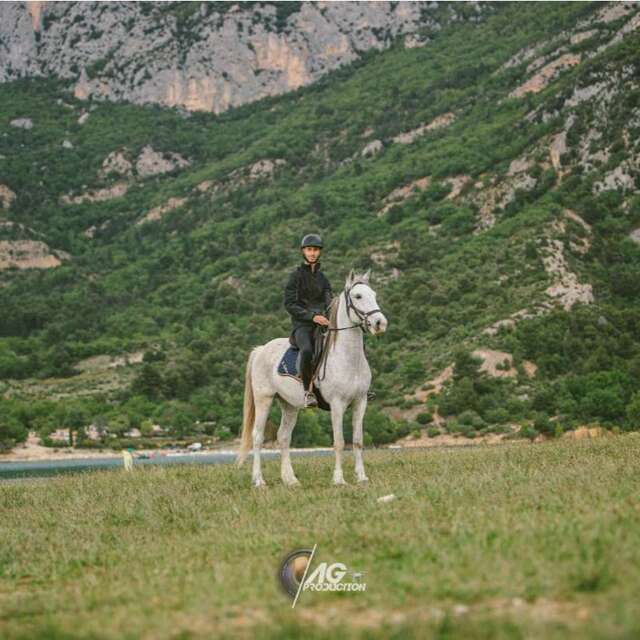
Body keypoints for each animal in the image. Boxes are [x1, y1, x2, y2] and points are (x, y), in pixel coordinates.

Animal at [236, 269, 388, 487]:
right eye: (358, 296)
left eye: (374, 295)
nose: (380, 323)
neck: (348, 358)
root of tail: (261, 349)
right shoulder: (337, 404)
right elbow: (339, 442)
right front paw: (339, 479)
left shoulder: (361, 402)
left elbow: (358, 440)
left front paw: (362, 477)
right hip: (264, 399)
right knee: (257, 437)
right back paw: (259, 481)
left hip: (289, 405)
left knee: (283, 437)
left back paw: (290, 480)